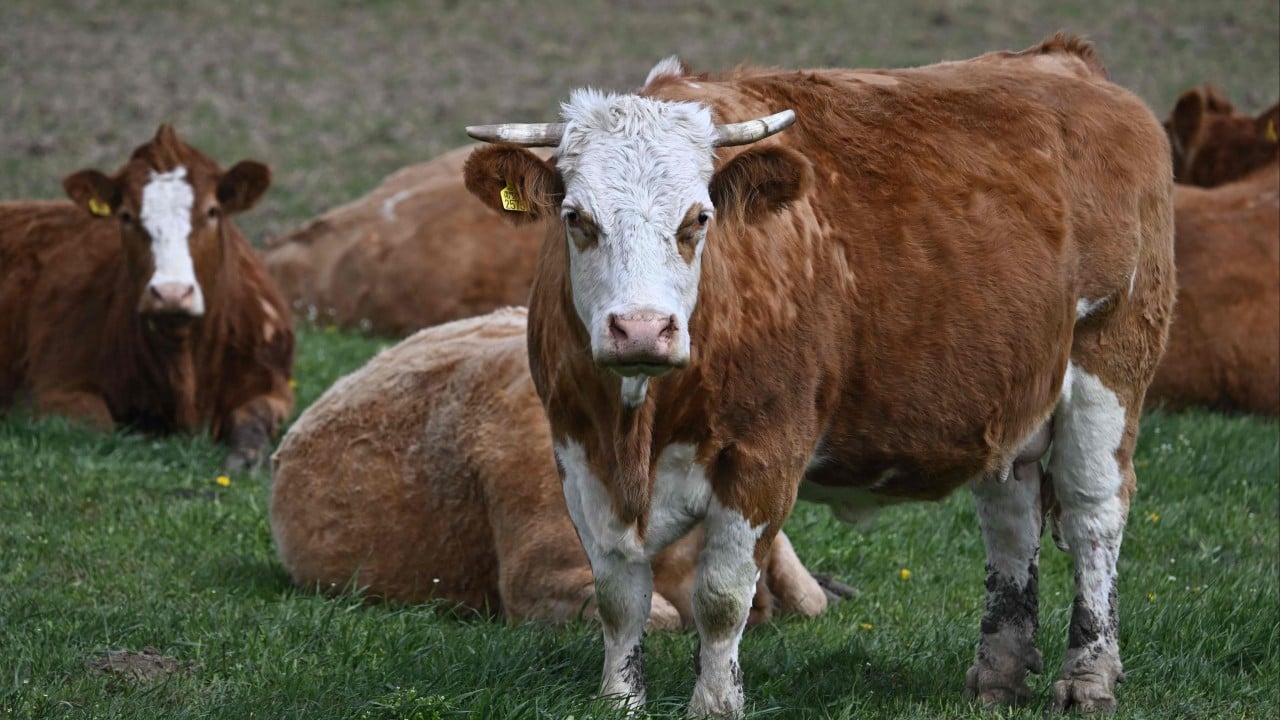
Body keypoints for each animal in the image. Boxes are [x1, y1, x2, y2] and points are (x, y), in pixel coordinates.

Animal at [0, 125, 294, 471]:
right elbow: (101, 426)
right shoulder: (49, 391)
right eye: (126, 215)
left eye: (212, 211)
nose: (171, 293)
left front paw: (246, 457)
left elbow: (253, 419)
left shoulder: (273, 386)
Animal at [462, 34, 1174, 717]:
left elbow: (722, 596)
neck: (640, 423)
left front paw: (716, 704)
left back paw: (1088, 677)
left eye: (698, 218)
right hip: (1009, 400)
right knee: (1011, 519)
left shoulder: (763, 454)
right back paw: (998, 677)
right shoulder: (578, 451)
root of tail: (1067, 64)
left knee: (1092, 514)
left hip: (1109, 364)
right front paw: (620, 700)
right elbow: (617, 595)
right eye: (577, 218)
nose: (640, 329)